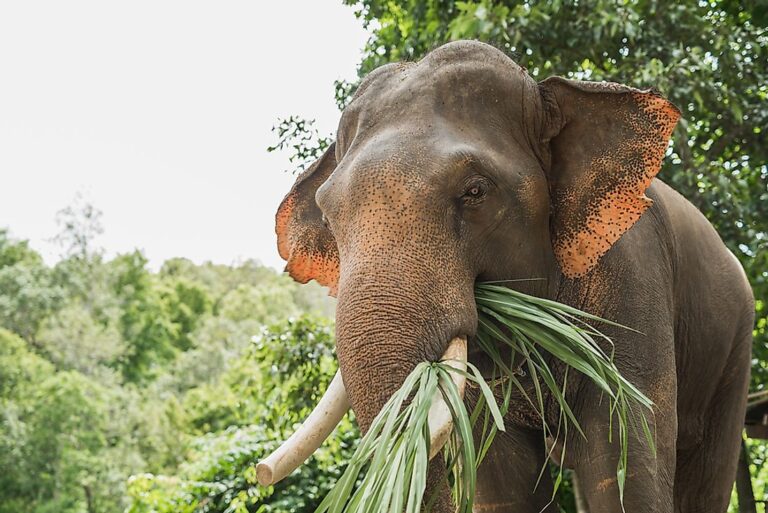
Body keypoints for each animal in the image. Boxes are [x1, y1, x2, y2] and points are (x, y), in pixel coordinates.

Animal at [268, 41, 752, 512]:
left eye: (475, 191)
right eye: (328, 218)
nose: (260, 474)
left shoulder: (634, 274)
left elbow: (623, 460)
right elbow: (505, 479)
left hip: (735, 343)